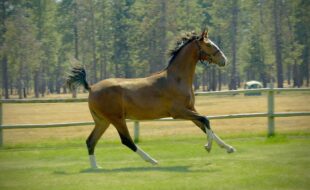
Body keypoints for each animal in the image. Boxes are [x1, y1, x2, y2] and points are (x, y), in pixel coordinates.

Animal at [66, 29, 235, 169]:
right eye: (209, 44)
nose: (224, 60)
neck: (176, 79)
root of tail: (91, 88)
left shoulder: (190, 109)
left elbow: (205, 125)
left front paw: (229, 148)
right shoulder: (179, 112)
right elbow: (206, 119)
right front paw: (208, 147)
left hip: (102, 121)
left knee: (90, 141)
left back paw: (96, 168)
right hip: (116, 119)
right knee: (127, 141)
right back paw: (152, 161)